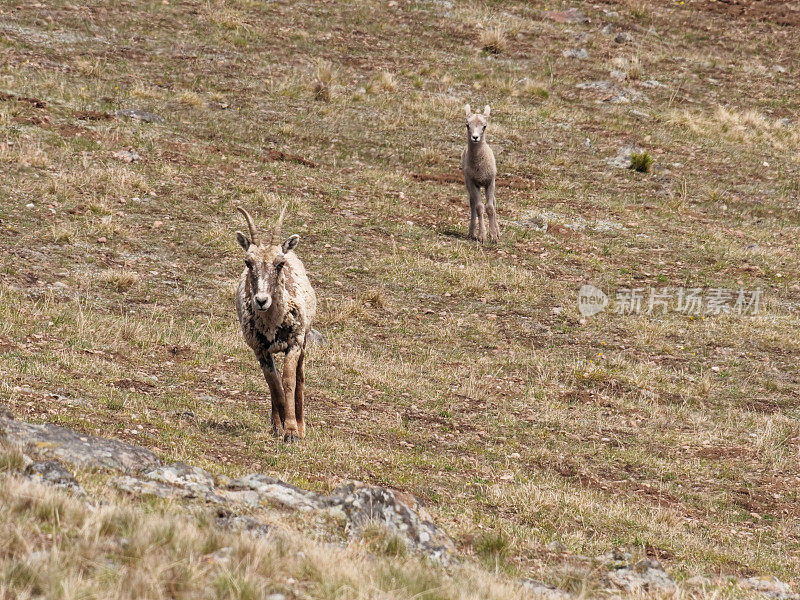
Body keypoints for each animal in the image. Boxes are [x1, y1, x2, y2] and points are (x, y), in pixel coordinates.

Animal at [233, 209, 318, 442]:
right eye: (248, 262)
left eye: (279, 263)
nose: (261, 300)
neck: (273, 324)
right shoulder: (260, 349)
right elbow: (274, 383)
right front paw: (280, 428)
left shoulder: (294, 343)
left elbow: (289, 380)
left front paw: (292, 431)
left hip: (304, 341)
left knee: (300, 377)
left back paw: (301, 424)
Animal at [460, 104, 496, 243]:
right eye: (467, 125)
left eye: (484, 126)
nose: (475, 137)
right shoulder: (473, 183)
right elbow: (479, 207)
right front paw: (482, 236)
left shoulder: (490, 182)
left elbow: (490, 208)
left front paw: (494, 236)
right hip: (468, 184)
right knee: (473, 204)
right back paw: (471, 233)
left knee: (494, 203)